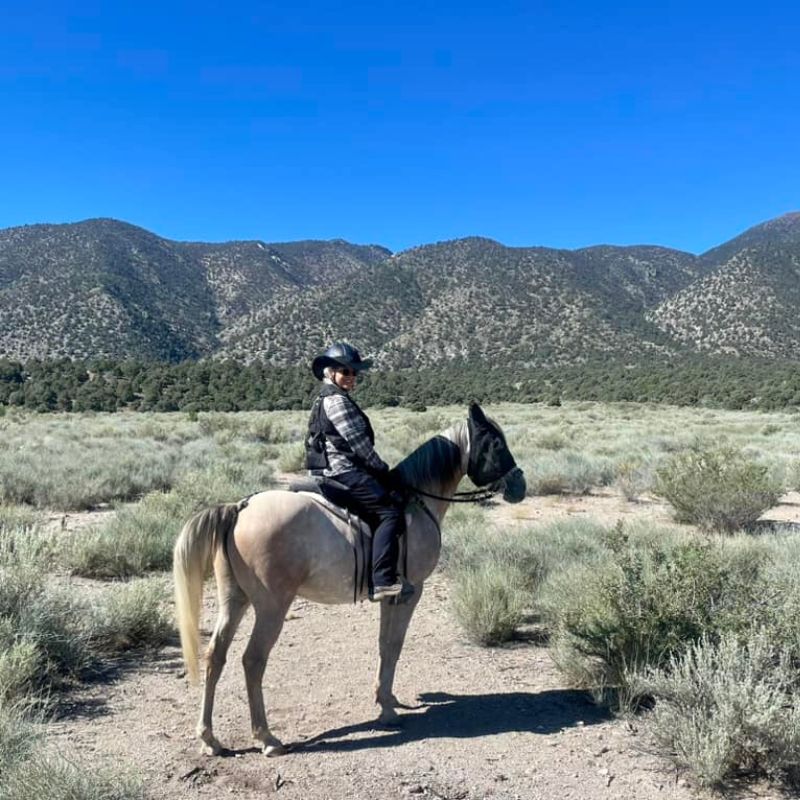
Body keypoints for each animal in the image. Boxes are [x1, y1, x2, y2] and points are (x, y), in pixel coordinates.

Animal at [173, 404, 524, 760]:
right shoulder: (412, 592)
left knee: (215, 656)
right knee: (253, 660)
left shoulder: (391, 597)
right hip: (271, 607)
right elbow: (394, 645)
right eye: (495, 443)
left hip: (235, 600)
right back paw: (266, 737)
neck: (416, 503)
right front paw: (387, 711)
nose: (519, 485)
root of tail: (240, 507)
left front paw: (387, 699)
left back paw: (209, 738)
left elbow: (385, 645)